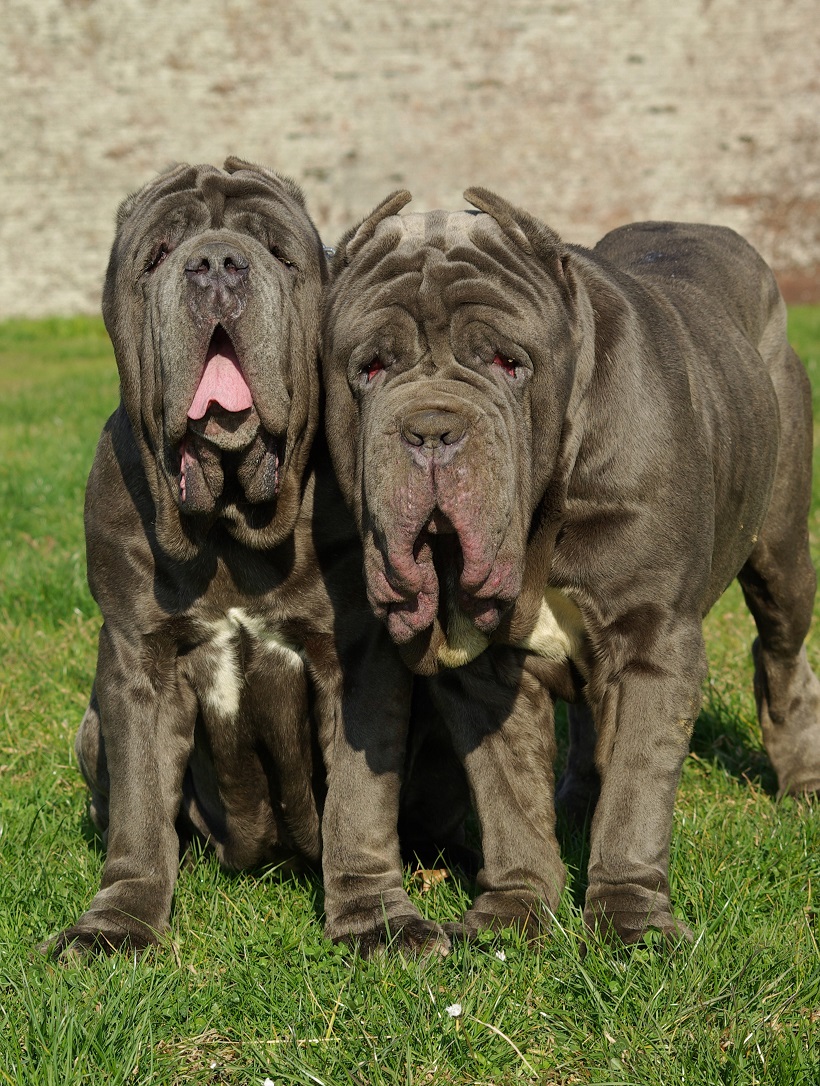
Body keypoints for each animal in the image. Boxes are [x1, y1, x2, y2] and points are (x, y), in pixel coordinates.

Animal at [46, 160, 469, 960]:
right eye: (158, 252)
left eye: (276, 250)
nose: (216, 263)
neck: (229, 527)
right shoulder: (138, 665)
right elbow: (140, 808)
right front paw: (116, 922)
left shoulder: (357, 661)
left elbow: (360, 804)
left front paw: (377, 918)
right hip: (90, 731)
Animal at [319, 188, 820, 951]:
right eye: (370, 367)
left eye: (508, 361)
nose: (431, 428)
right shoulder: (479, 668)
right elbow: (507, 792)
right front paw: (515, 908)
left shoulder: (653, 639)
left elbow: (639, 791)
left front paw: (632, 922)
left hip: (782, 550)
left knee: (782, 652)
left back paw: (801, 779)